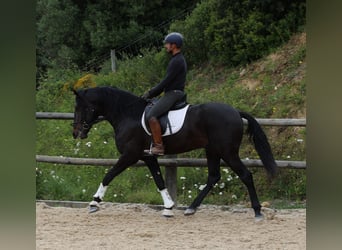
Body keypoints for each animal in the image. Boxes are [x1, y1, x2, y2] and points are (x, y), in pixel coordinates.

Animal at [72, 86, 278, 219]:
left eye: (81, 107)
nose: (76, 133)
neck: (127, 114)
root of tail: (235, 111)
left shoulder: (130, 155)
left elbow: (109, 175)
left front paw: (94, 203)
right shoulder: (148, 156)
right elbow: (159, 181)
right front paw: (169, 208)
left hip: (227, 152)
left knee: (245, 175)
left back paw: (257, 211)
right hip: (212, 150)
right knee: (213, 177)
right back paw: (191, 209)